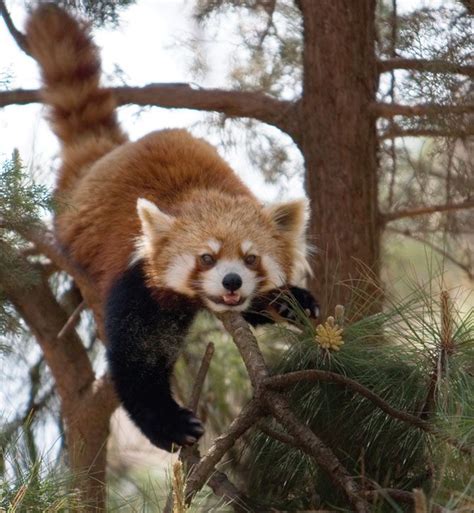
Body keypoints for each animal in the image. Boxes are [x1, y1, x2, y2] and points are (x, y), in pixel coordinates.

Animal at [24, 3, 316, 448]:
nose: (232, 281)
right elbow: (138, 357)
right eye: (206, 258)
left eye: (251, 259)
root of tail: (104, 156)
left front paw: (290, 300)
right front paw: (169, 422)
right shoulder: (138, 281)